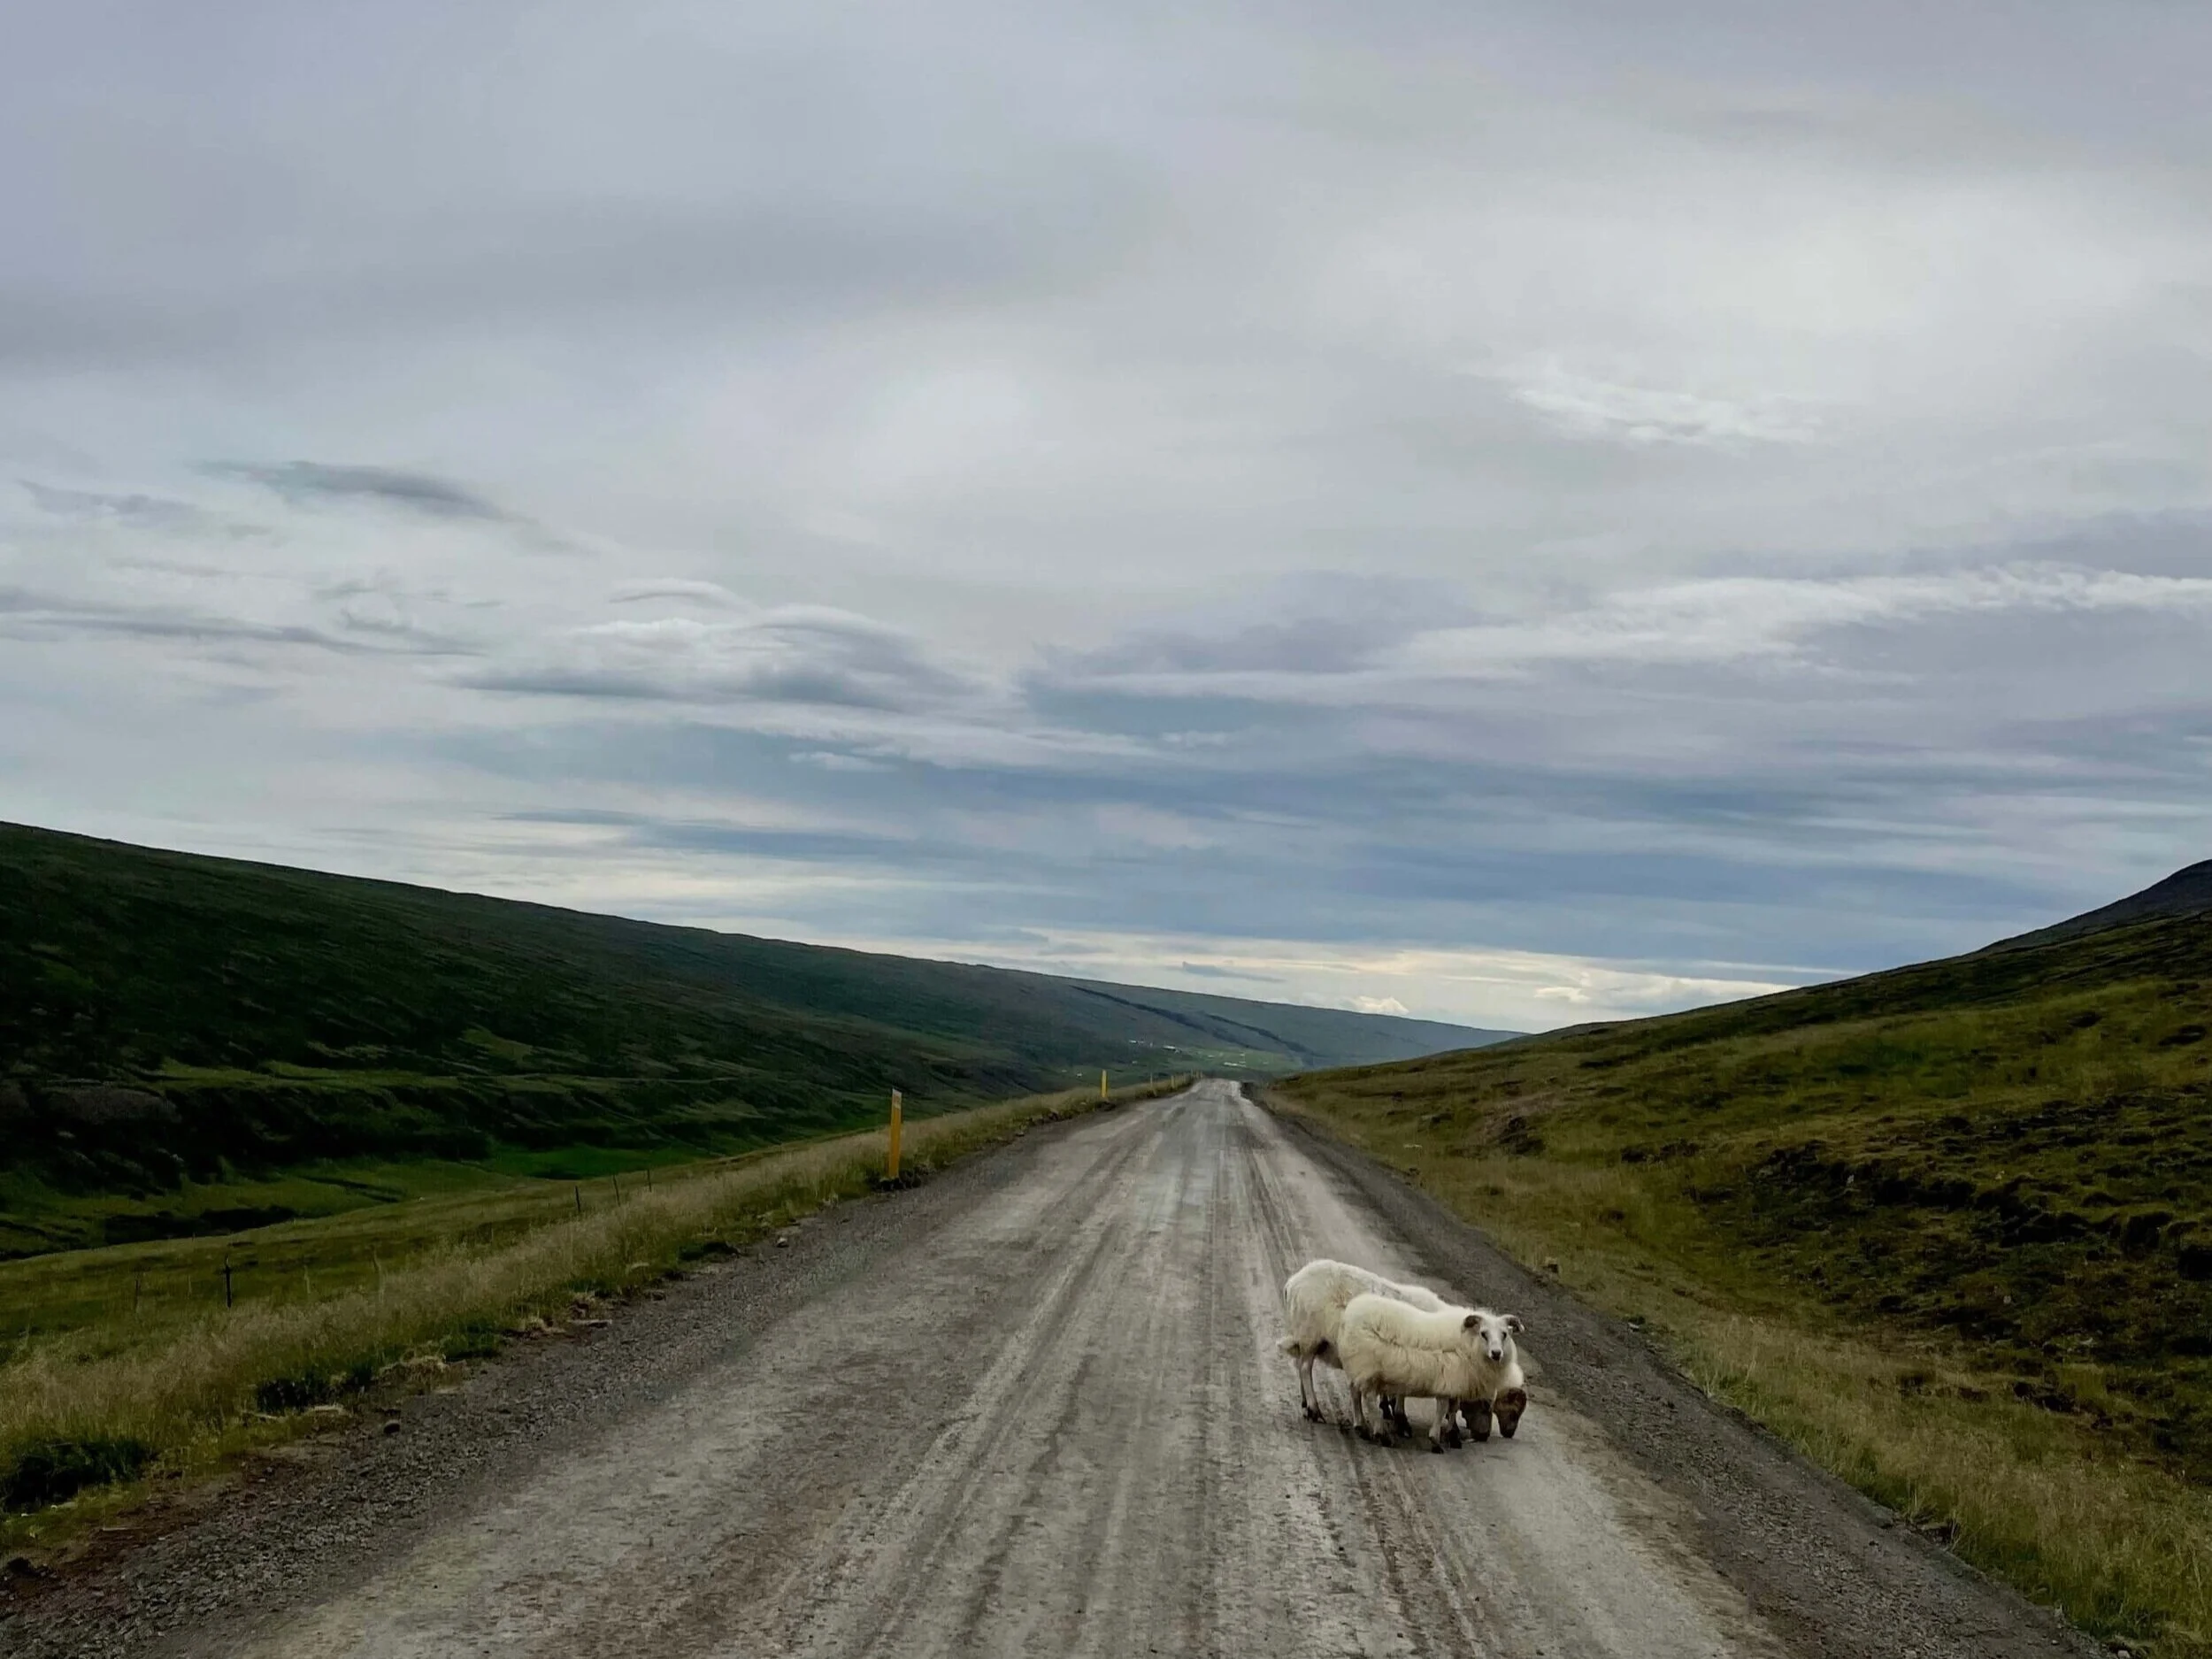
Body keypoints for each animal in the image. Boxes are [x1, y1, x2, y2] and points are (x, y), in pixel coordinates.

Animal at [1277, 1258, 1450, 1423]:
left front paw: (1388, 1408)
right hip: (1310, 1335)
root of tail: (1292, 1283)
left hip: (1306, 1337)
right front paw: (1399, 1416)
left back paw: (1305, 1404)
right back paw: (1314, 1410)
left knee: (1299, 1363)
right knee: (1305, 1368)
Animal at [1337, 1295, 1524, 1452]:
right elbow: (1443, 1409)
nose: (1496, 1353)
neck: (1469, 1343)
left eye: (1504, 1334)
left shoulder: (1455, 1383)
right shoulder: (1448, 1380)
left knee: (1354, 1393)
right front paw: (1436, 1440)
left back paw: (1361, 1427)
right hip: (1367, 1366)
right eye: (1483, 1333)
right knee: (1368, 1398)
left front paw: (1451, 1437)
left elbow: (1452, 1409)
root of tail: (1350, 1312)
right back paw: (1381, 1434)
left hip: (1358, 1366)